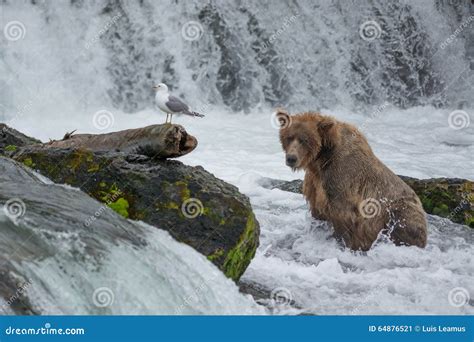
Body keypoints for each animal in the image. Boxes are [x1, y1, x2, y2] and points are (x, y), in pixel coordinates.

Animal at [276, 109, 428, 251]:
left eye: (305, 140)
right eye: (289, 137)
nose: (291, 158)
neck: (321, 158)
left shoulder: (341, 177)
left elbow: (344, 215)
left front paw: (345, 243)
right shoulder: (315, 183)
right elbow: (317, 210)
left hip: (400, 210)